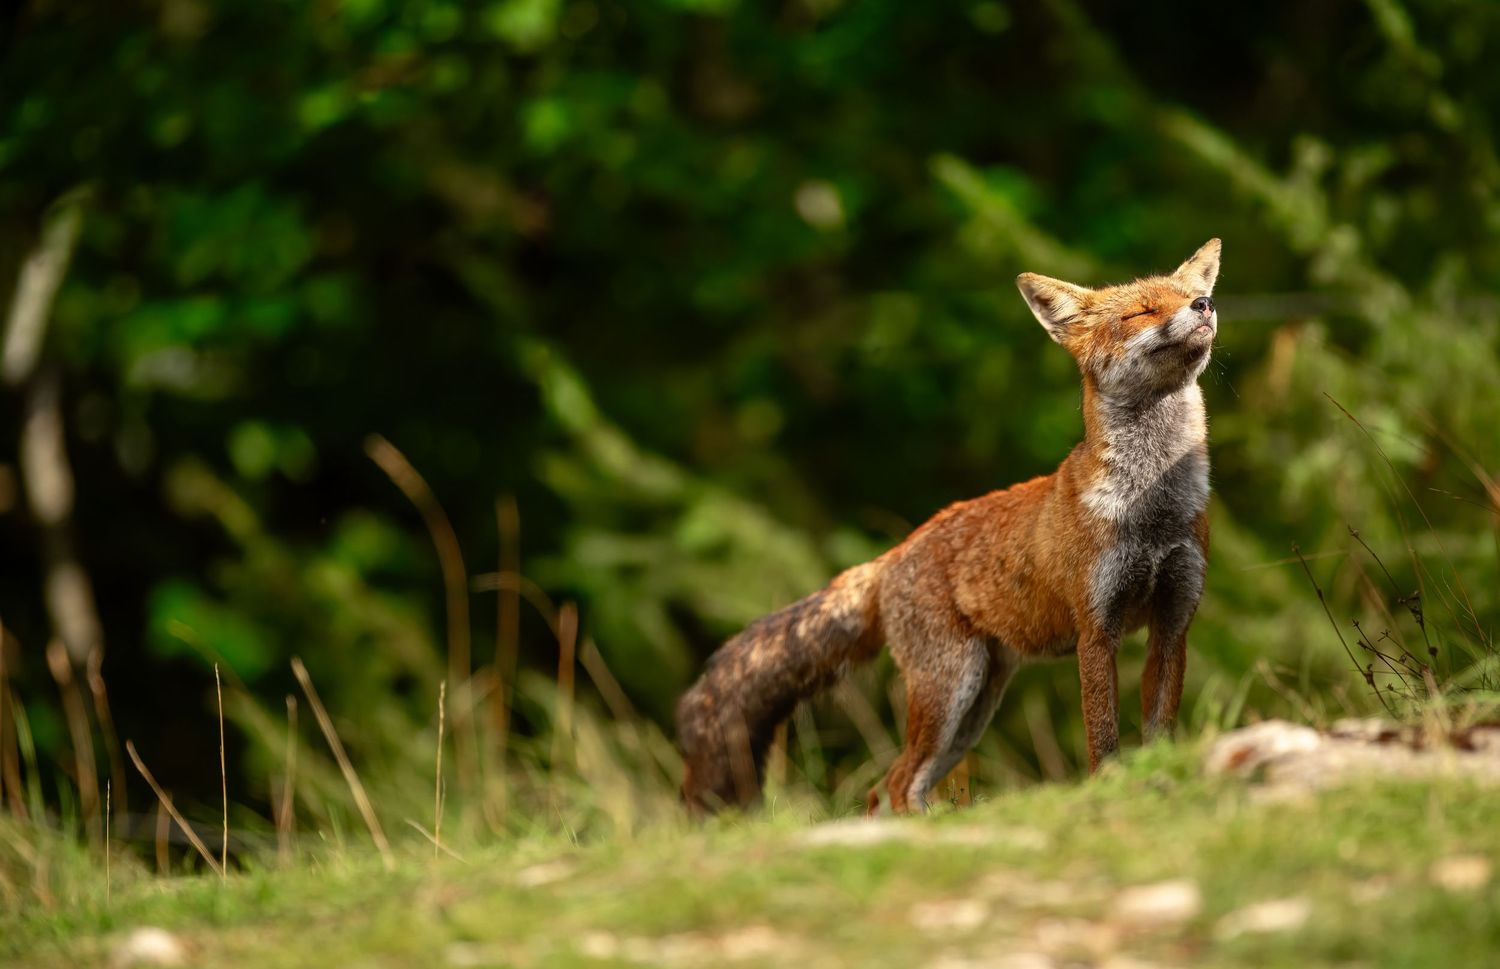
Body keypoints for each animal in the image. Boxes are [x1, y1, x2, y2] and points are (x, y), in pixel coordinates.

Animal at [676, 239, 1222, 815]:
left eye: (1192, 294)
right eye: (1142, 311)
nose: (1204, 305)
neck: (1153, 509)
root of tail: (894, 553)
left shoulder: (1173, 621)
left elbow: (1160, 731)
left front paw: (1161, 785)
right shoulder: (1096, 630)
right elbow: (1104, 739)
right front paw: (1110, 794)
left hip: (976, 702)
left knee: (888, 787)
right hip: (952, 688)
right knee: (895, 783)